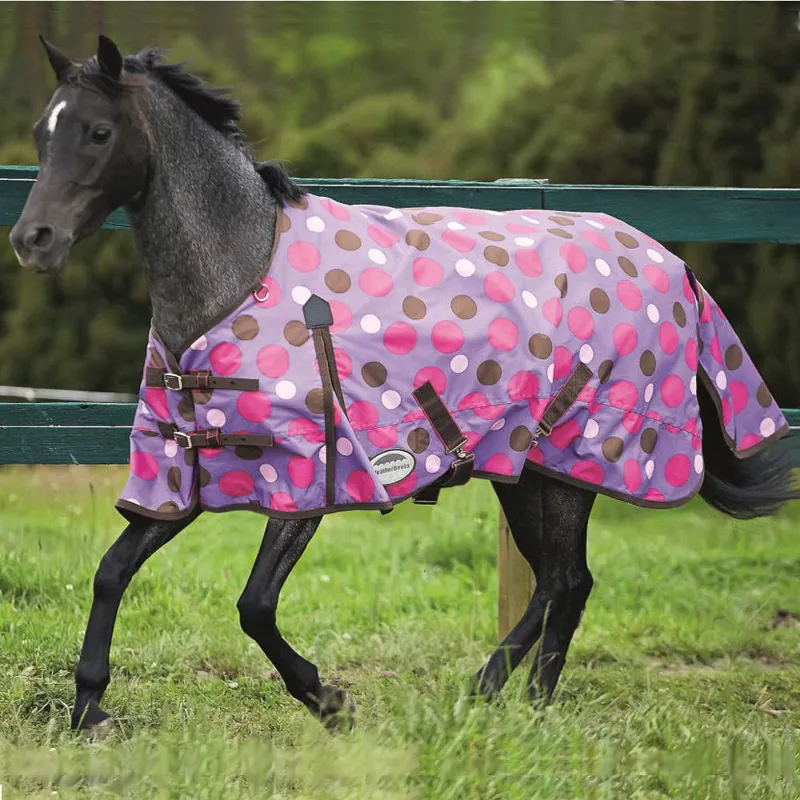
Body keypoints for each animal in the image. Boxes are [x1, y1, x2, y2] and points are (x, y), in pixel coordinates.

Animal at [10, 36, 799, 735]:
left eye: (98, 131)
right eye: (43, 132)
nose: (32, 240)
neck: (237, 278)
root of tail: (674, 263)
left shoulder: (311, 478)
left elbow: (255, 605)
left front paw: (331, 702)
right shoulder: (188, 468)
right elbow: (112, 570)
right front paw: (89, 709)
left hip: (572, 465)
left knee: (566, 583)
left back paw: (502, 703)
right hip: (525, 468)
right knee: (561, 583)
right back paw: (510, 704)